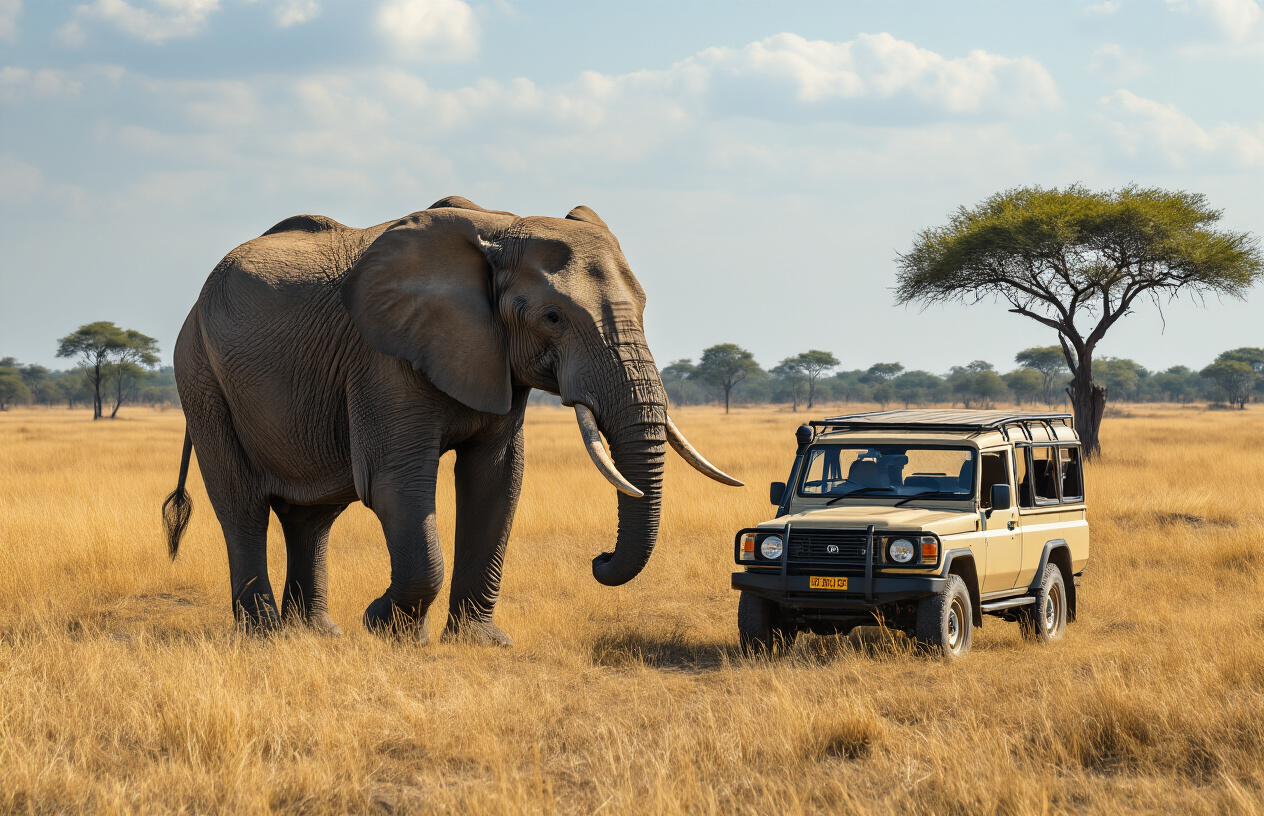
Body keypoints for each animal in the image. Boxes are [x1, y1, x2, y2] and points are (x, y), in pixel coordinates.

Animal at [161, 196, 742, 644]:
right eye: (552, 317)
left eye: (643, 310)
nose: (599, 559)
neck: (500, 227)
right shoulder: (383, 360)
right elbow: (395, 485)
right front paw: (386, 629)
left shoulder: (495, 358)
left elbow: (497, 480)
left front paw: (480, 643)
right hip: (200, 374)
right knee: (242, 503)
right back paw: (264, 636)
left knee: (313, 516)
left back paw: (316, 634)